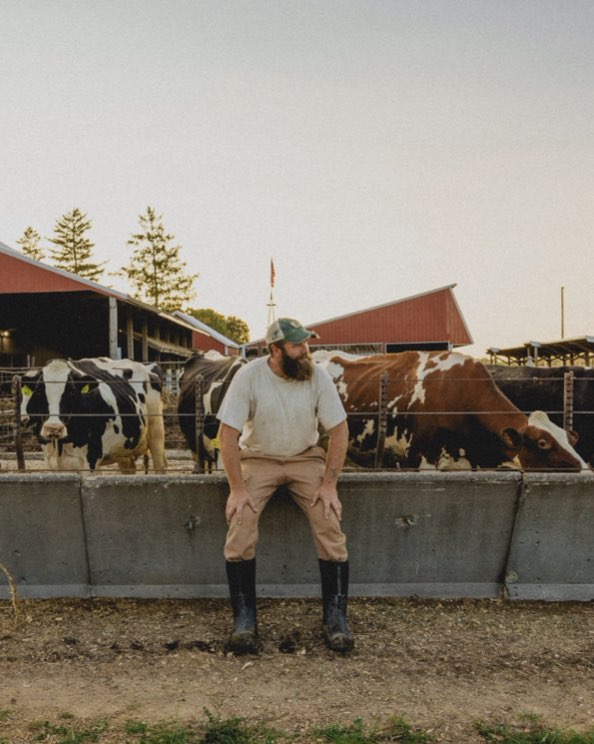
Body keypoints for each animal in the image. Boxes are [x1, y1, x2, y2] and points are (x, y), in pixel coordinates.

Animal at [20, 358, 166, 470]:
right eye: (39, 393)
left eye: (71, 392)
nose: (53, 428)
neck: (60, 445)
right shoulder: (51, 462)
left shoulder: (91, 459)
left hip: (156, 431)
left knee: (160, 465)